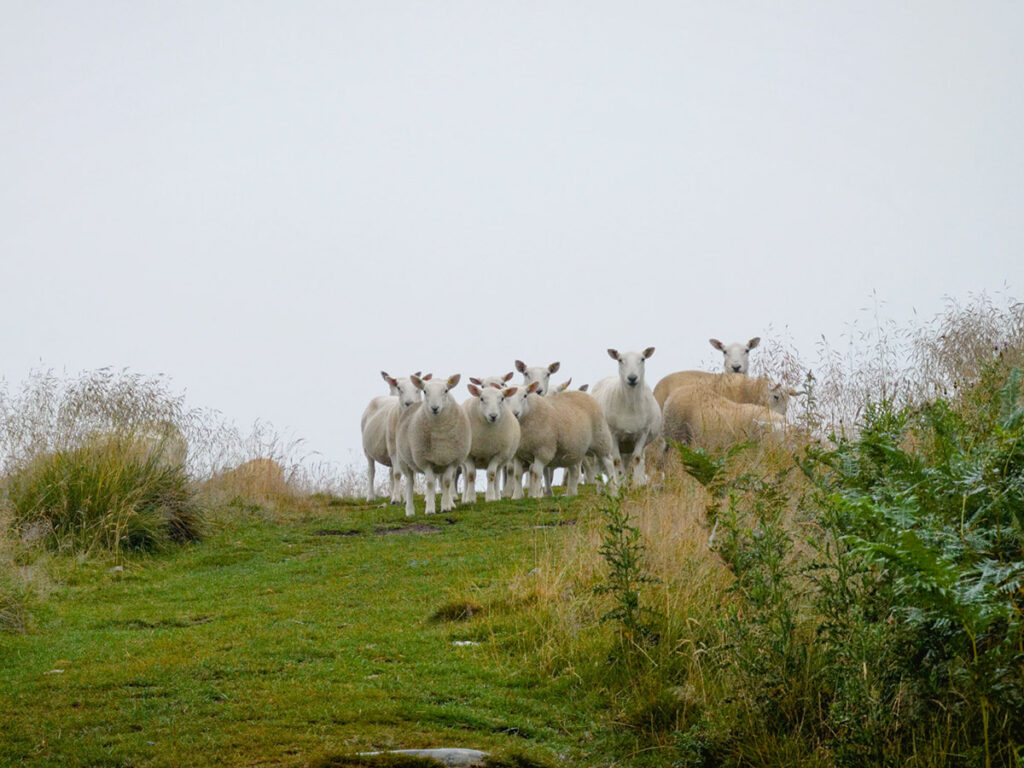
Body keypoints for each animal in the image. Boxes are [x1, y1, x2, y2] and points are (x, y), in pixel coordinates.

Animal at [396, 374, 472, 516]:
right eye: (425, 391)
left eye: (446, 390)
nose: (434, 408)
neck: (439, 430)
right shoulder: (425, 460)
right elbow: (430, 483)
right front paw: (430, 509)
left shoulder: (452, 460)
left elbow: (446, 482)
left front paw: (446, 507)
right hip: (404, 461)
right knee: (410, 483)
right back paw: (409, 510)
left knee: (442, 481)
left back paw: (450, 503)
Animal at [590, 347, 662, 486]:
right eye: (620, 360)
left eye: (642, 359)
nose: (632, 378)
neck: (630, 406)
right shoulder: (613, 434)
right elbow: (616, 461)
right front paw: (620, 484)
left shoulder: (642, 433)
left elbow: (637, 459)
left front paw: (636, 485)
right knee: (598, 462)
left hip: (629, 444)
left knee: (634, 460)